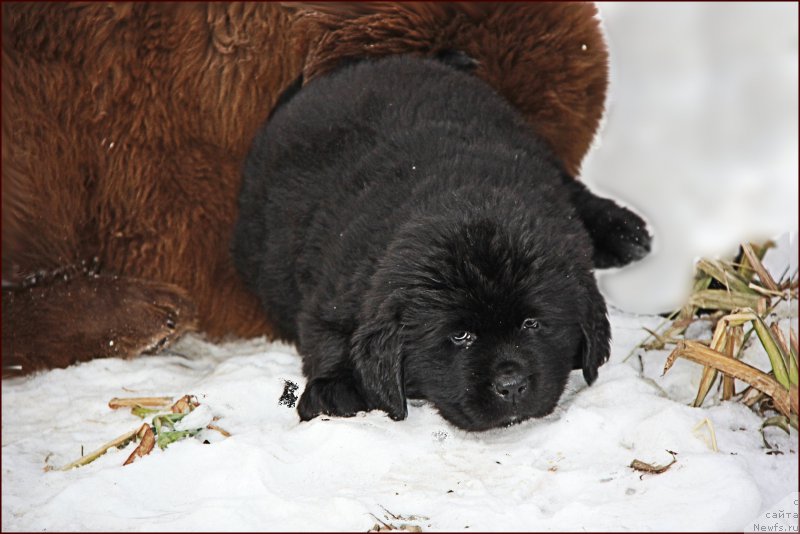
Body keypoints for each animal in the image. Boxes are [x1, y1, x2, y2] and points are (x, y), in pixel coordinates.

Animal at [233, 55, 648, 432]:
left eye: (532, 323)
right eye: (460, 336)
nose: (511, 385)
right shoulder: (333, 297)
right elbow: (327, 336)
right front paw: (333, 392)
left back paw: (626, 235)